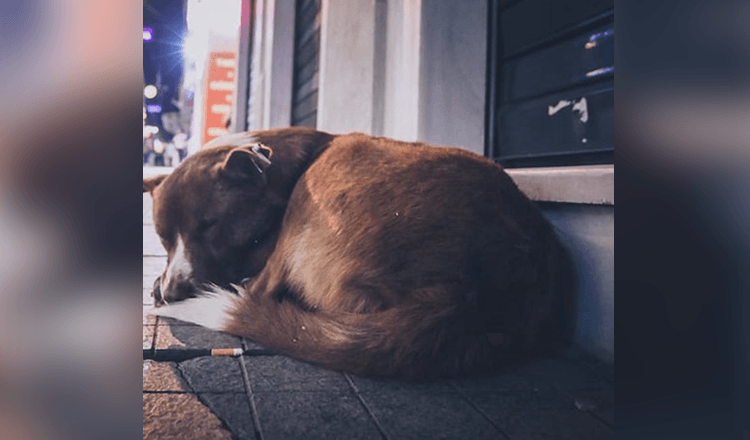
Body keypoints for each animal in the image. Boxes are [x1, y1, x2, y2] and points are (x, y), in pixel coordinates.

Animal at [144, 126, 572, 378]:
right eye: (163, 238)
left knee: (261, 289)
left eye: (209, 225)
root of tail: (459, 296)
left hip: (326, 175)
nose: (175, 292)